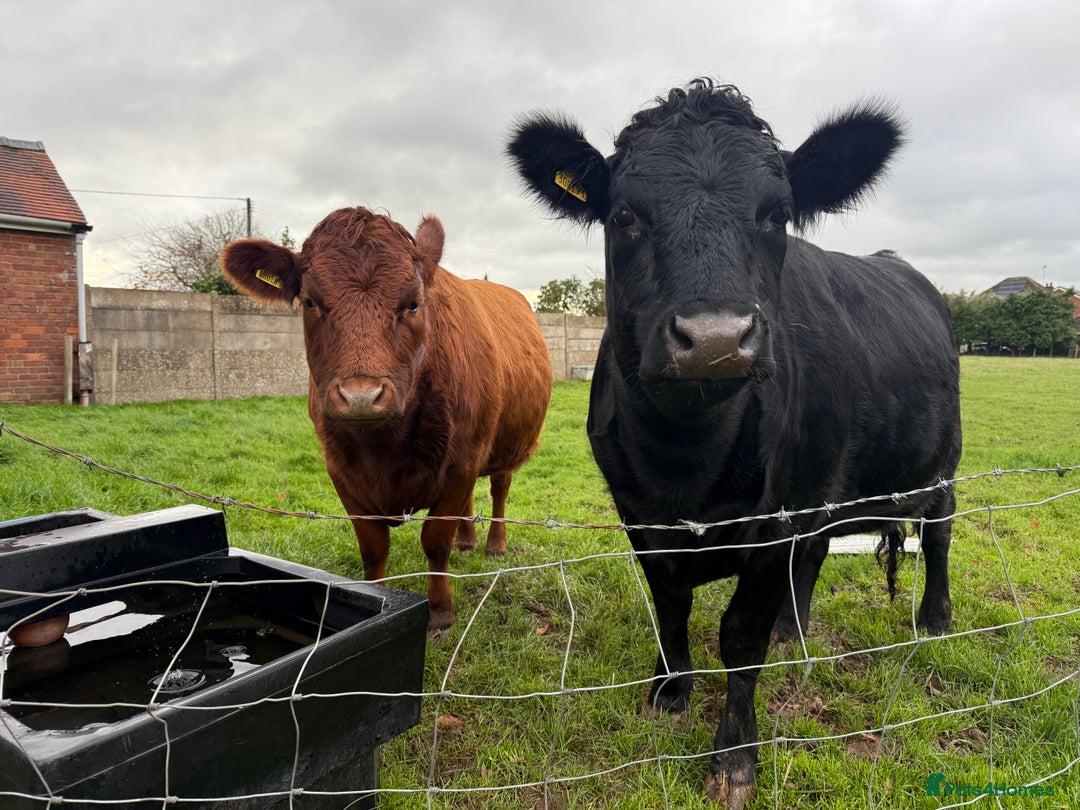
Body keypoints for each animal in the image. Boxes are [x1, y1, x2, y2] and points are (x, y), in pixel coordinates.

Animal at [222, 207, 553, 634]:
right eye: (310, 302)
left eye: (413, 303)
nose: (361, 396)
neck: (384, 448)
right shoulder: (342, 473)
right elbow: (373, 546)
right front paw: (374, 602)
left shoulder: (461, 464)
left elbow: (435, 542)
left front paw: (440, 613)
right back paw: (467, 540)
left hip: (505, 444)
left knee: (499, 489)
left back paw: (495, 544)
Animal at [507, 79, 960, 807]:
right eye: (624, 215)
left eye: (777, 216)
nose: (715, 339)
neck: (684, 466)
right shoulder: (639, 514)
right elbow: (669, 606)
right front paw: (669, 690)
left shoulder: (777, 517)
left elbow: (739, 638)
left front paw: (734, 757)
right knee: (817, 553)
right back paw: (791, 630)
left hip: (938, 464)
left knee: (939, 535)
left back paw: (934, 619)